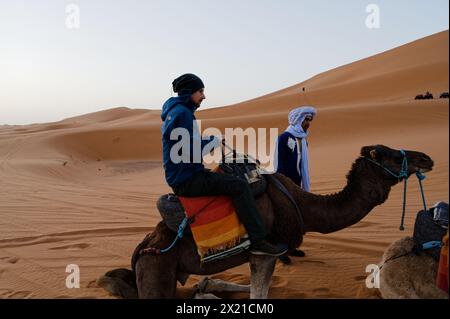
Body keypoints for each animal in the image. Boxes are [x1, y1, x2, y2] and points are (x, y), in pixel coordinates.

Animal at [97, 145, 432, 300]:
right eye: (390, 155)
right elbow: (260, 293)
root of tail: (142, 248)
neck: (304, 206)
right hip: (157, 267)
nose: (426, 158)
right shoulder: (264, 252)